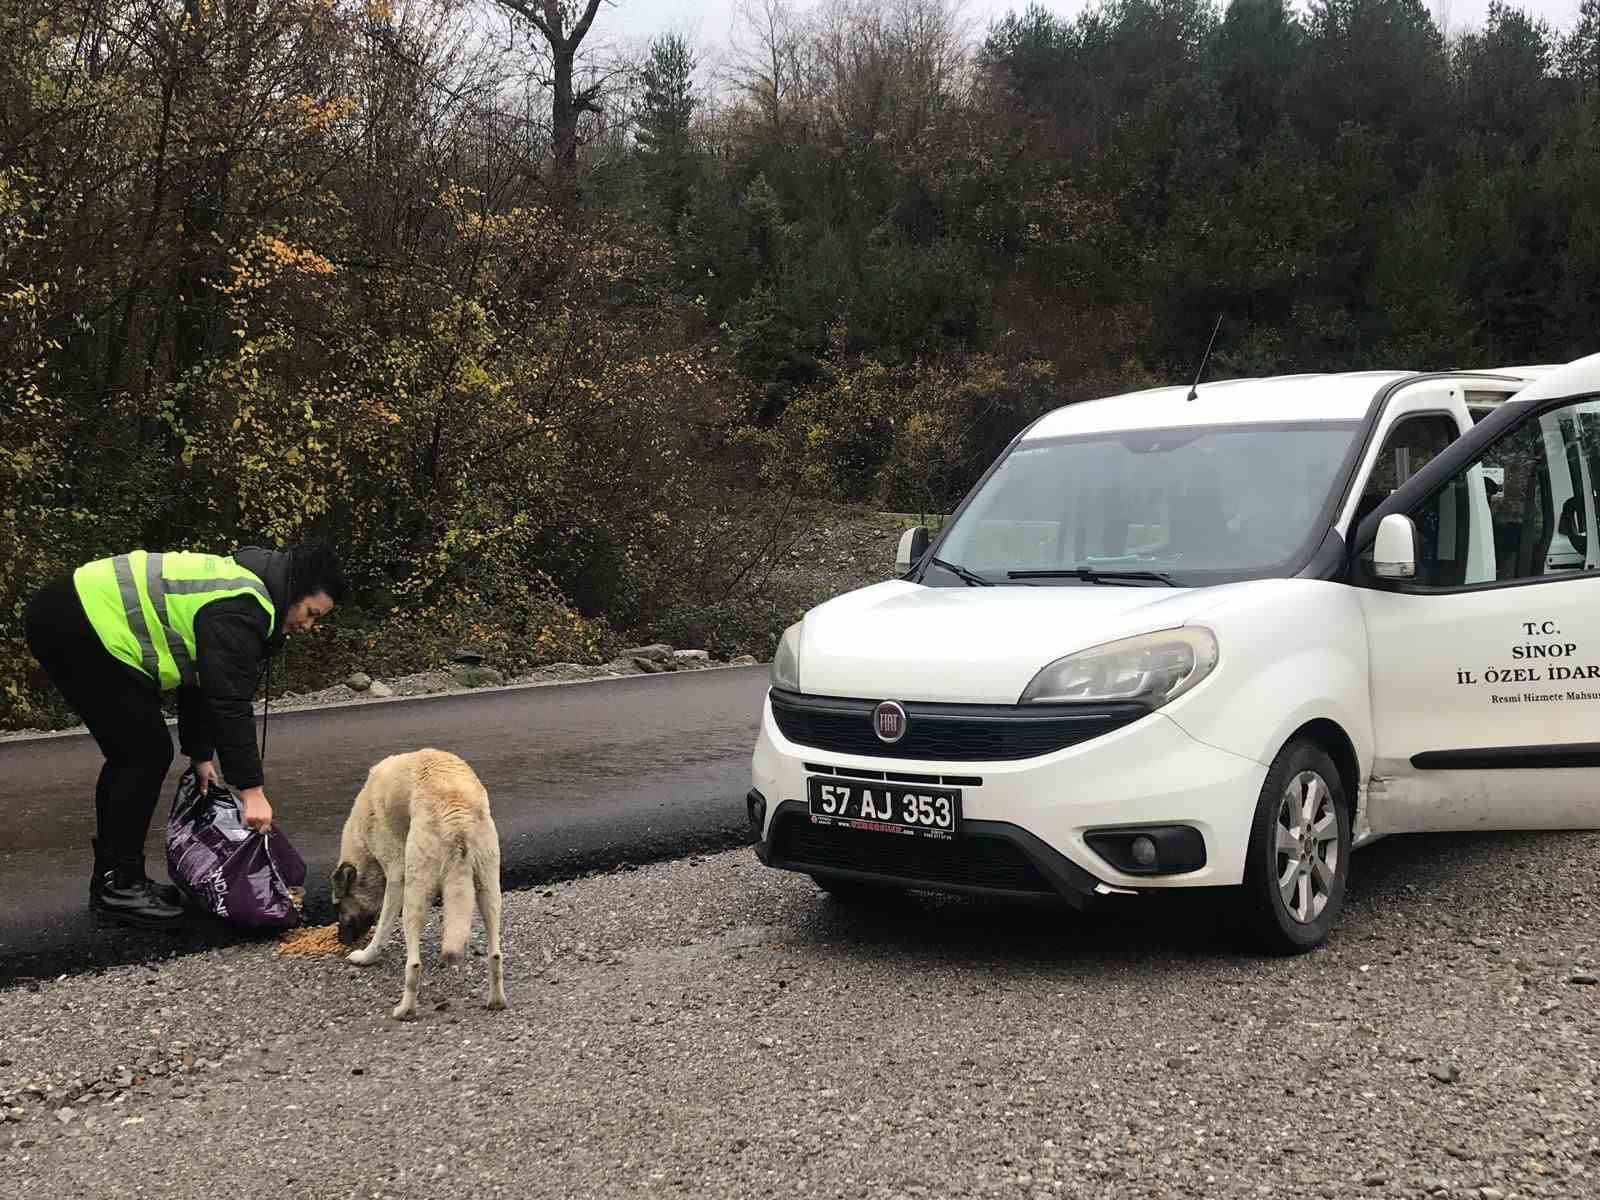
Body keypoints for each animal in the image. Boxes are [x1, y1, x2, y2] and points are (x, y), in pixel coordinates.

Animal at [334, 752, 508, 1017]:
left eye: (338, 905)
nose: (340, 940)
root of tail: (457, 815)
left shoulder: (396, 876)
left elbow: (382, 929)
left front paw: (366, 956)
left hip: (414, 896)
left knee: (414, 964)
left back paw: (405, 1009)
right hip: (489, 889)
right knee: (495, 955)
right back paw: (496, 1000)